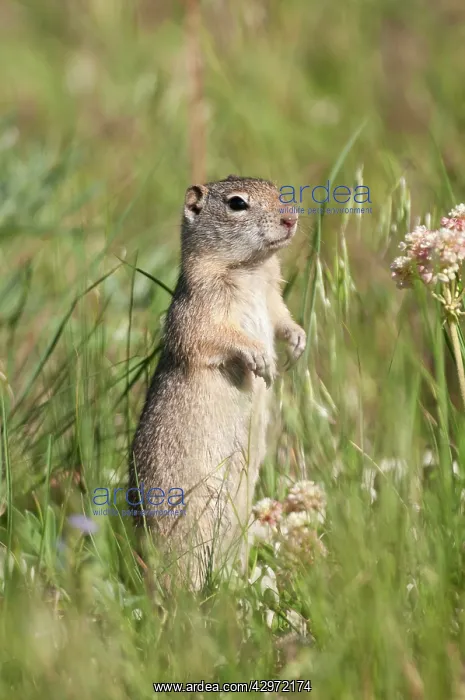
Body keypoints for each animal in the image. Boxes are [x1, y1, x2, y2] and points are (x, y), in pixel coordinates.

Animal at [129, 175, 306, 588]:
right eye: (237, 203)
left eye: (277, 189)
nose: (291, 219)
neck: (251, 270)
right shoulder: (199, 308)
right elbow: (213, 337)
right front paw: (260, 359)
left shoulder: (273, 298)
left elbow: (281, 318)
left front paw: (297, 342)